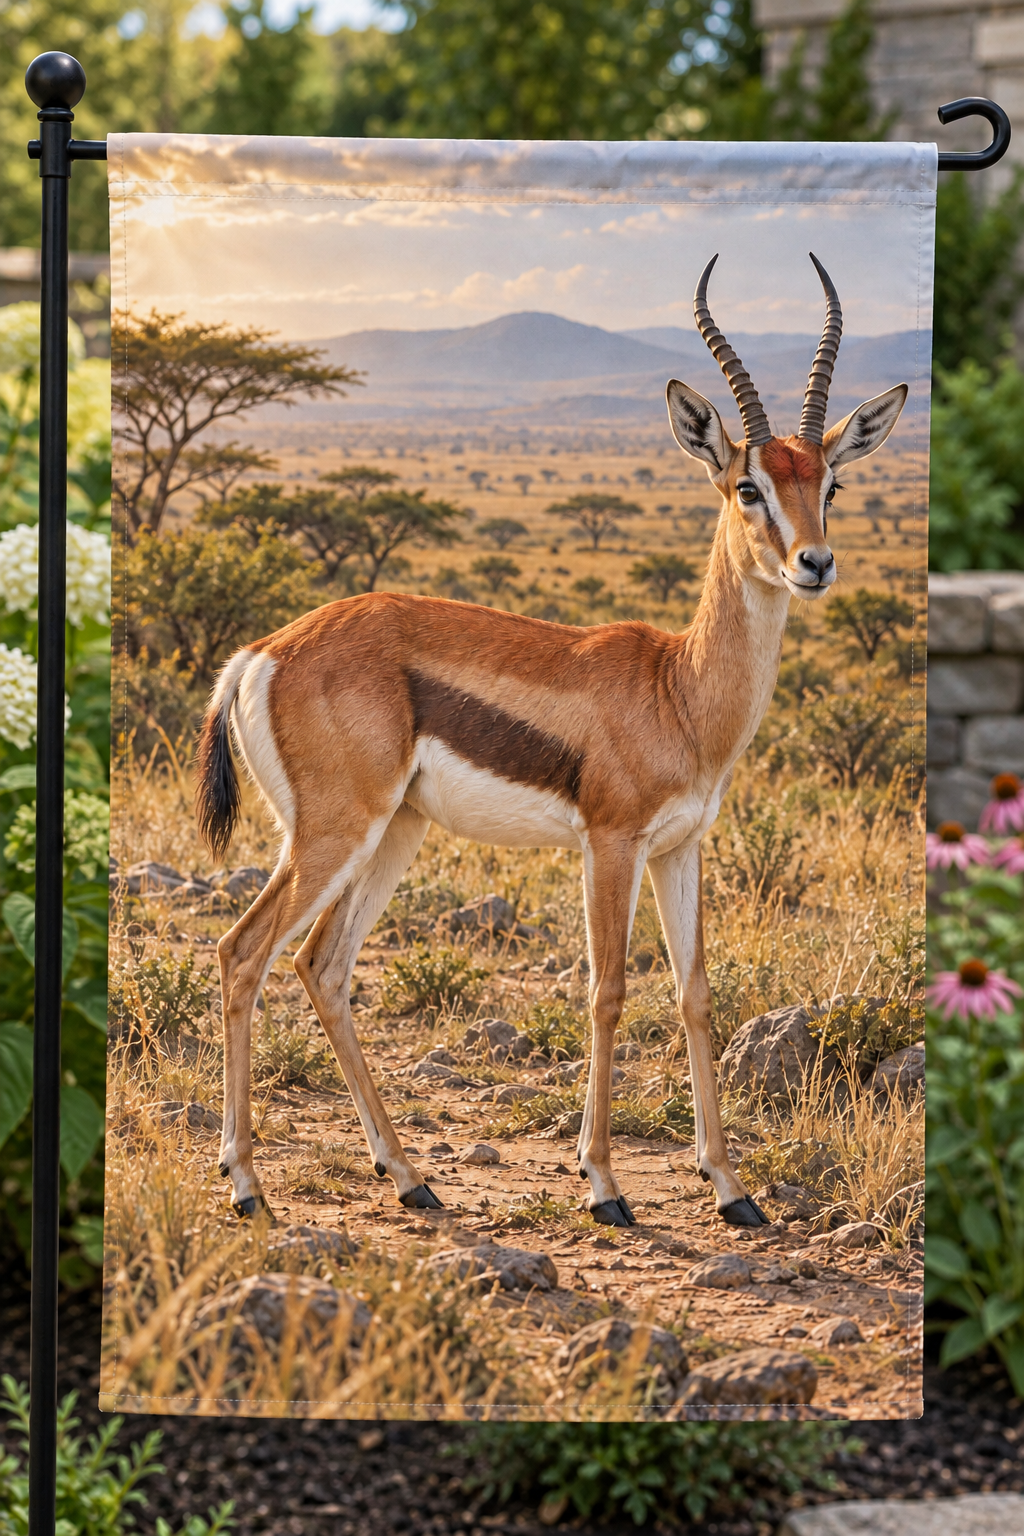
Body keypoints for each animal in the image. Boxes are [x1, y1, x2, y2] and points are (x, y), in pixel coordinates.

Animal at [196, 254, 907, 1229]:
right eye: (747, 487)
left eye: (830, 484)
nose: (814, 563)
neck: (678, 690)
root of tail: (261, 653)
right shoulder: (609, 843)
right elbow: (608, 992)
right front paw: (603, 1184)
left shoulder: (679, 848)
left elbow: (694, 992)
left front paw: (731, 1188)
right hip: (333, 833)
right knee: (243, 954)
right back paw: (247, 1185)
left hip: (394, 832)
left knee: (323, 966)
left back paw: (409, 1176)